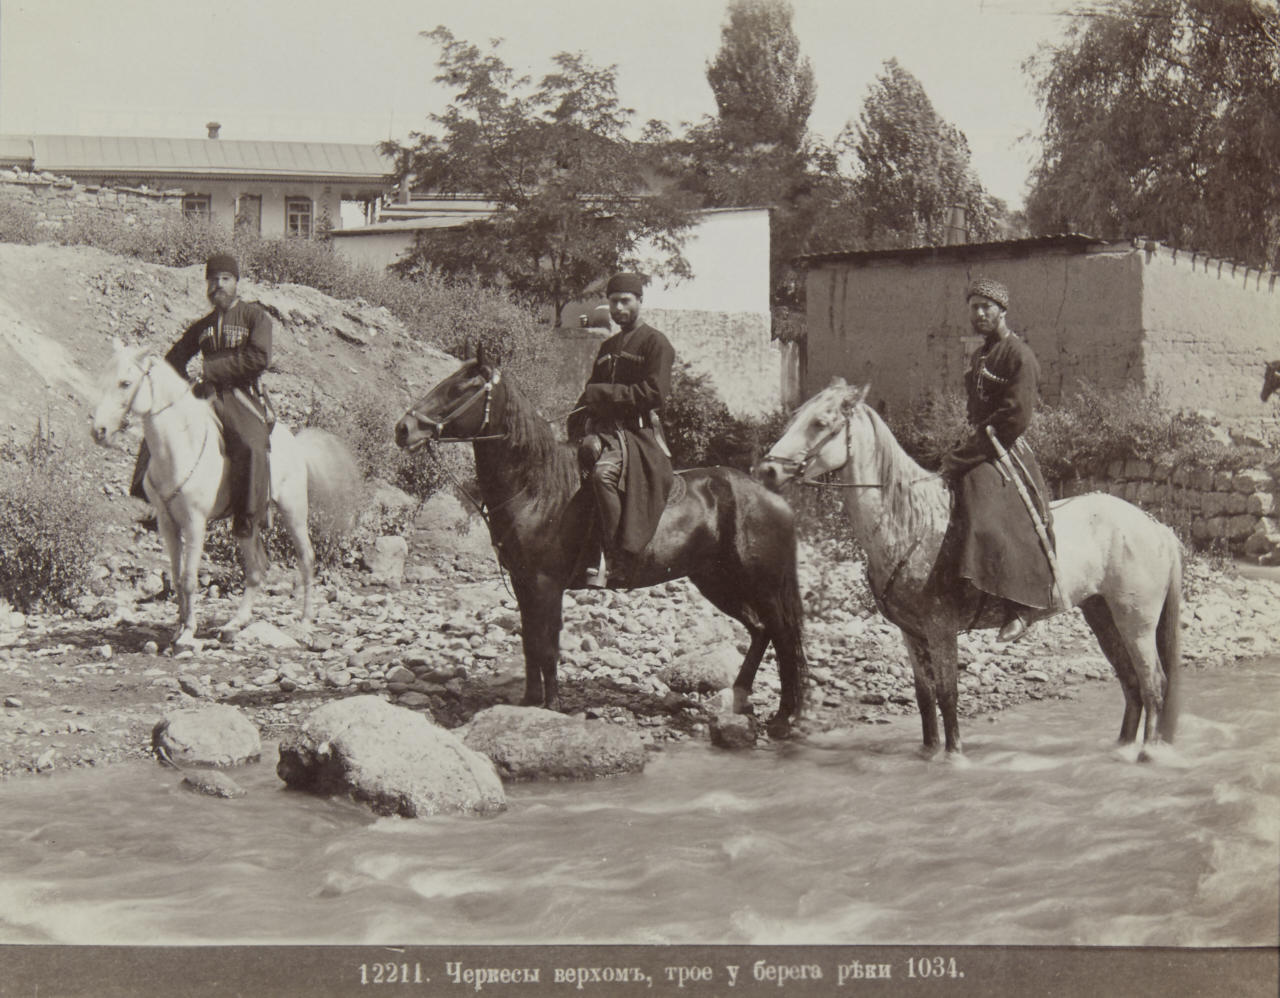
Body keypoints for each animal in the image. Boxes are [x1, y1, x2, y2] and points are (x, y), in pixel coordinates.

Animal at [92, 340, 358, 642]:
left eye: (125, 383)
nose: (99, 431)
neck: (179, 447)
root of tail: (295, 441)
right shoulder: (167, 523)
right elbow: (176, 576)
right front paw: (179, 627)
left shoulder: (195, 523)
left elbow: (188, 578)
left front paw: (188, 632)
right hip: (247, 521)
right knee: (257, 568)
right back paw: (236, 622)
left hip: (294, 511)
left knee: (306, 557)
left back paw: (305, 619)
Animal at [394, 355, 803, 731]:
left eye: (461, 388)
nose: (403, 429)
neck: (537, 489)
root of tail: (776, 499)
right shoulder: (524, 583)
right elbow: (530, 643)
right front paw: (529, 701)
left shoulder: (545, 584)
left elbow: (546, 646)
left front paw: (551, 705)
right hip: (718, 582)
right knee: (760, 631)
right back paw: (739, 698)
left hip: (762, 586)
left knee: (783, 637)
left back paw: (785, 718)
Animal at [752, 381, 1182, 757]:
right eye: (796, 417)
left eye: (820, 423)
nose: (766, 472)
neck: (909, 522)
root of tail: (1157, 527)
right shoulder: (912, 633)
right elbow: (925, 696)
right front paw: (929, 753)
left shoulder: (941, 627)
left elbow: (948, 694)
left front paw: (954, 757)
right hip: (1102, 614)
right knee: (1131, 682)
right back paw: (1123, 749)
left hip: (1136, 621)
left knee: (1153, 683)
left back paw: (1147, 752)